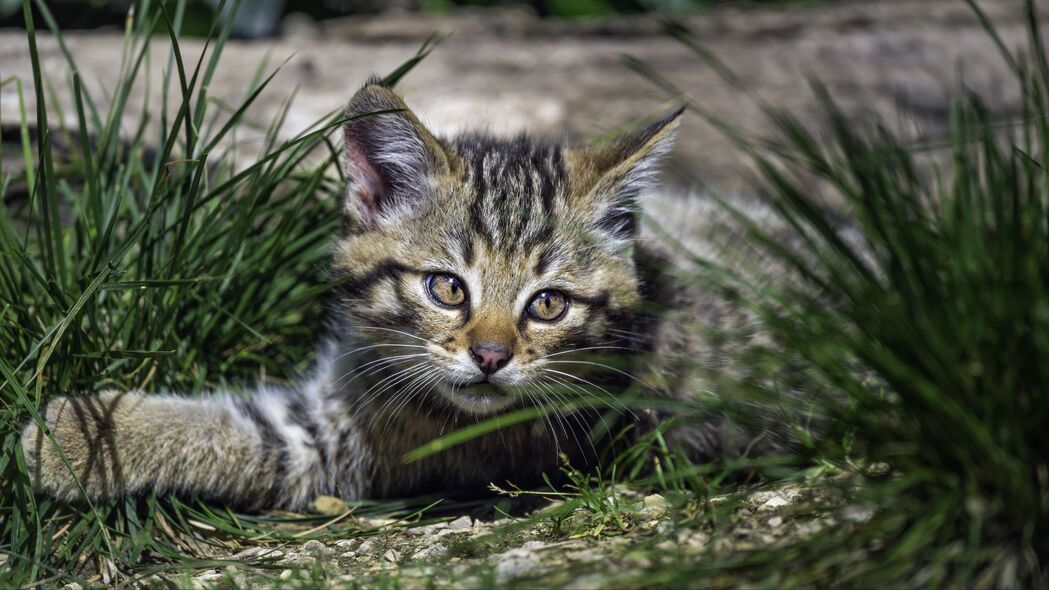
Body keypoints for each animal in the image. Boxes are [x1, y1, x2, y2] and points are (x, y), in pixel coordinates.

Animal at [20, 78, 788, 510]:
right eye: (446, 288)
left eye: (547, 304)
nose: (490, 358)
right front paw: (91, 429)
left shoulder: (337, 448)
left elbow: (241, 439)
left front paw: (74, 438)